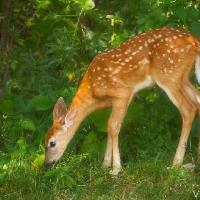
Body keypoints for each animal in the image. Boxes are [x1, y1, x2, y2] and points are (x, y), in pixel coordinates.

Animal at [44, 27, 200, 175]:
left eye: (52, 143)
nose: (46, 164)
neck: (93, 90)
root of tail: (194, 41)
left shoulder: (123, 93)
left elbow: (113, 126)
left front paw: (115, 169)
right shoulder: (112, 101)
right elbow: (108, 126)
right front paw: (105, 164)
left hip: (168, 75)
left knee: (188, 109)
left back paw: (176, 164)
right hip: (182, 78)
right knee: (196, 101)